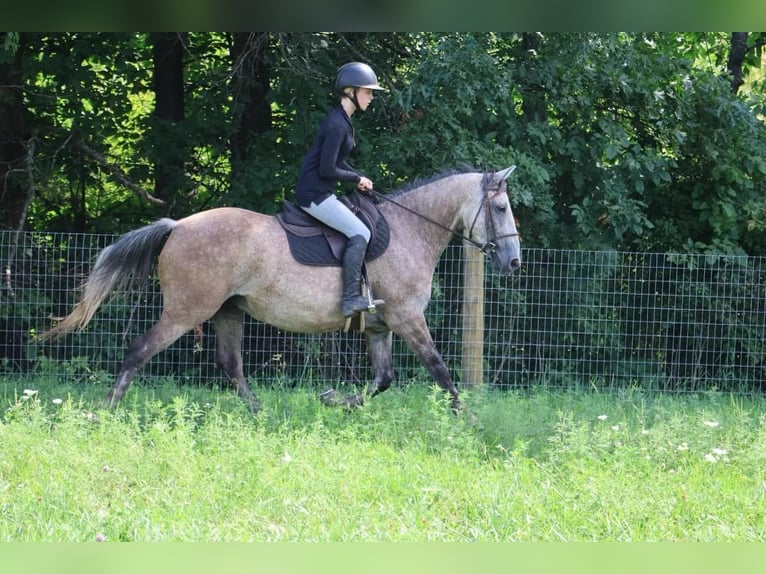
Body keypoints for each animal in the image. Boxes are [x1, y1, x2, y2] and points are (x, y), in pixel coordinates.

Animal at [40, 166, 520, 414]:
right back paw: (106, 410)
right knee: (140, 350)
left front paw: (335, 400)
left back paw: (259, 412)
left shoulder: (380, 327)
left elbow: (383, 380)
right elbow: (440, 372)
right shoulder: (406, 318)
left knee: (231, 365)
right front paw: (466, 421)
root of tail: (177, 226)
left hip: (228, 311)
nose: (514, 263)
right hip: (187, 311)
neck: (409, 230)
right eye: (500, 207)